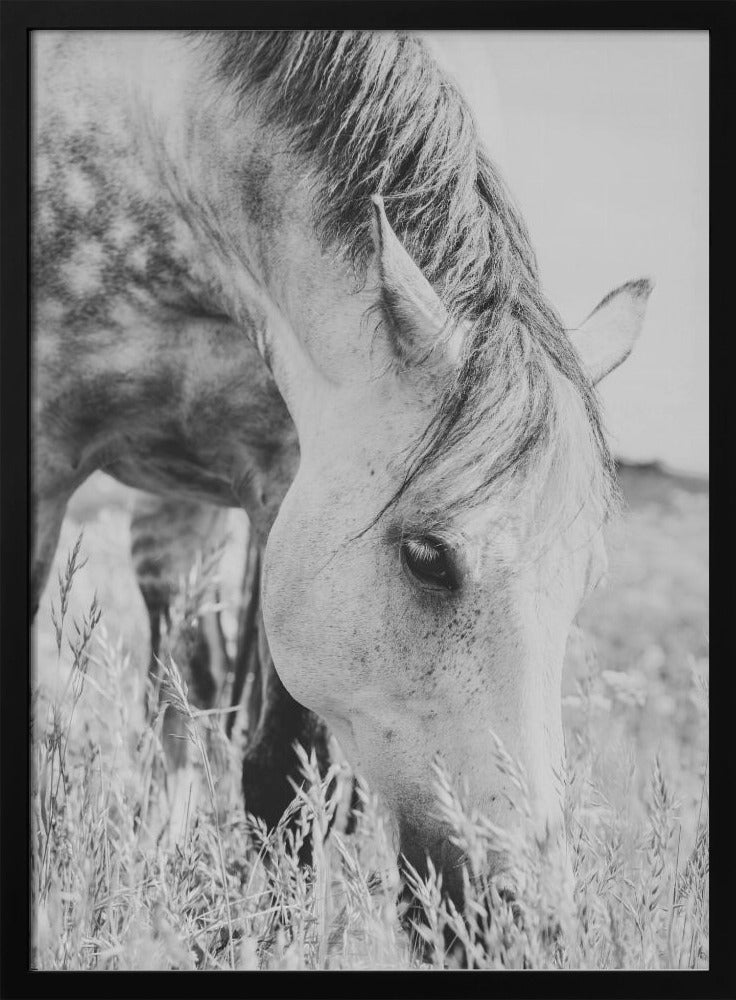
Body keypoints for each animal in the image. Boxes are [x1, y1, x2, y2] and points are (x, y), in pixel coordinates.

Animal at [32, 29, 652, 905]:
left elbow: (283, 776)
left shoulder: (285, 479)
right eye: (427, 557)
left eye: (585, 580)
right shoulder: (43, 458)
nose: (524, 913)